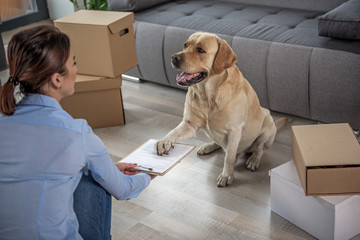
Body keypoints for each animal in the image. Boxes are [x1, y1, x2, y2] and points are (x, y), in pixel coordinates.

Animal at [155, 31, 286, 187]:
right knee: (221, 144)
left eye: (200, 50)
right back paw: (208, 146)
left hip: (267, 126)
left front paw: (227, 175)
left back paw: (253, 160)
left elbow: (229, 157)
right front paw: (164, 141)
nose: (174, 57)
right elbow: (173, 132)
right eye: (185, 45)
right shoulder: (190, 125)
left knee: (259, 150)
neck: (208, 95)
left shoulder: (235, 131)